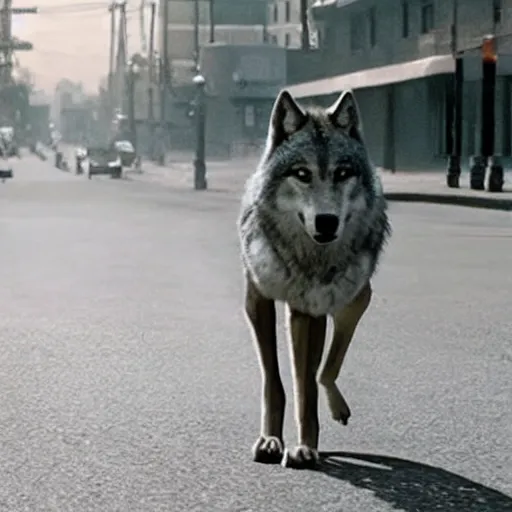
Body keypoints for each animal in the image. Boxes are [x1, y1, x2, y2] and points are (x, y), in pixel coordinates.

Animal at [238, 90, 390, 470]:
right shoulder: (257, 300)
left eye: (343, 173)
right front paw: (270, 440)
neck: (304, 259)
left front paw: (305, 447)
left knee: (327, 367)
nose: (326, 222)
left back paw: (337, 407)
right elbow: (273, 379)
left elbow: (306, 387)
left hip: (353, 298)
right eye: (302, 173)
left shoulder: (308, 311)